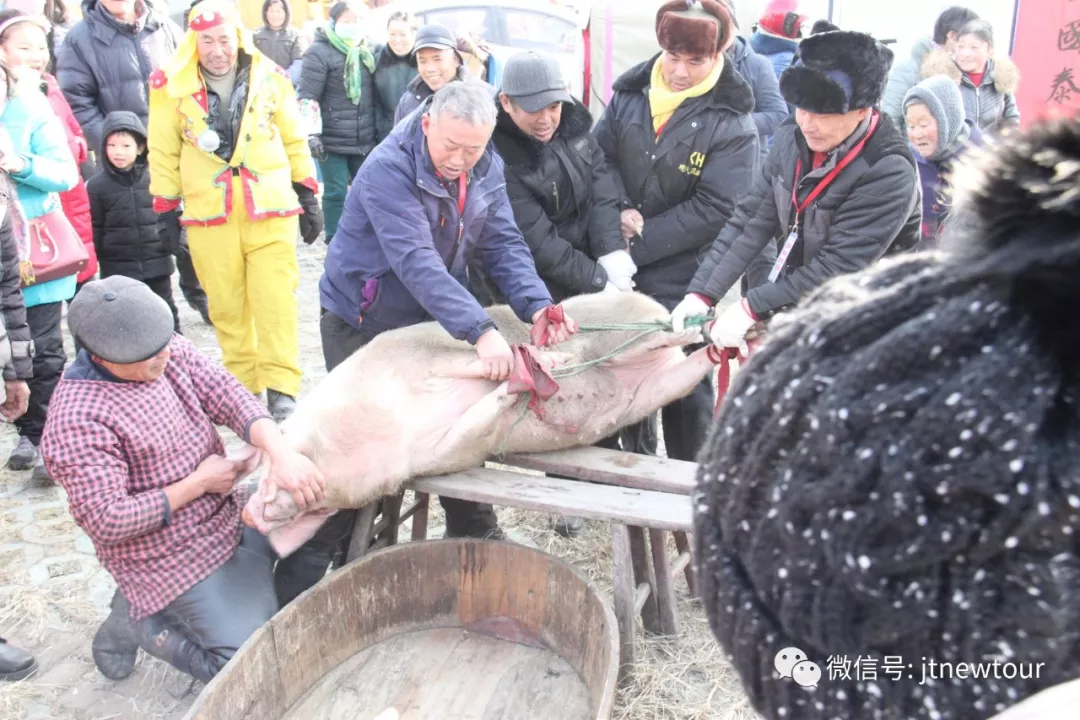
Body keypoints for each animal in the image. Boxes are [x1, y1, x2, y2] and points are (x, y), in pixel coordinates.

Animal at [243, 289, 717, 557]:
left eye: (266, 461)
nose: (247, 513)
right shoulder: (438, 452)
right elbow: (482, 411)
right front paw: (521, 382)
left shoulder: (423, 356)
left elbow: (484, 363)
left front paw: (544, 363)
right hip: (655, 389)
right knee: (689, 364)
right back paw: (717, 346)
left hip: (625, 331)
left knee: (665, 331)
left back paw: (702, 325)